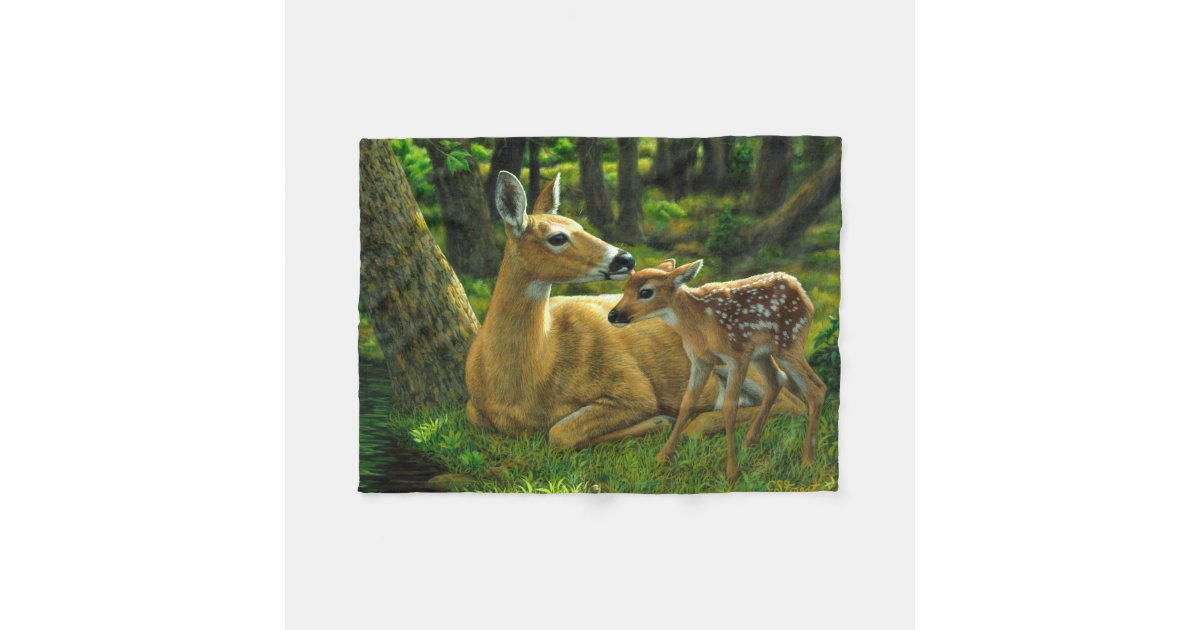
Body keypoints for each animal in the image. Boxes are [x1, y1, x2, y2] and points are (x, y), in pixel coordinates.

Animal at [465, 171, 809, 451]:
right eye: (558, 237)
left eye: (580, 225)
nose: (625, 258)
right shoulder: (473, 410)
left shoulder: (632, 387)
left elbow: (560, 433)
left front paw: (658, 421)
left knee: (793, 402)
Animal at [608, 259, 827, 483]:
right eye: (624, 289)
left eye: (645, 292)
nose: (613, 315)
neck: (699, 324)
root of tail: (801, 290)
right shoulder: (700, 360)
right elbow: (687, 403)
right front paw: (662, 457)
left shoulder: (737, 356)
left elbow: (729, 408)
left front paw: (731, 472)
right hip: (762, 353)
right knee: (776, 380)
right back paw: (749, 442)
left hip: (788, 341)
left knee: (816, 387)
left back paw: (807, 461)